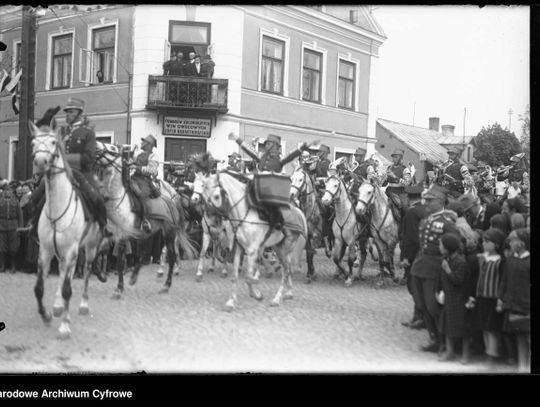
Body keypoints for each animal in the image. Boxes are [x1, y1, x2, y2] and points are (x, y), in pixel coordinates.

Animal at [29, 121, 104, 342]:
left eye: (54, 142)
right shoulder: (45, 250)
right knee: (63, 271)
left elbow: (68, 290)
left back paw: (83, 305)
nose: (40, 161)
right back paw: (56, 306)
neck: (57, 205)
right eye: (33, 143)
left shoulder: (72, 250)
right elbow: (39, 287)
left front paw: (64, 327)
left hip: (90, 248)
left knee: (86, 271)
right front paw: (45, 314)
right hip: (62, 252)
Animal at [193, 171, 308, 310]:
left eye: (216, 196)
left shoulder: (252, 250)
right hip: (278, 247)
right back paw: (289, 292)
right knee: (287, 268)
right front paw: (231, 302)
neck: (244, 214)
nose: (209, 216)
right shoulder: (239, 248)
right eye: (204, 195)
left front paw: (256, 294)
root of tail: (298, 211)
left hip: (285, 247)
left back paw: (277, 298)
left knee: (286, 271)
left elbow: (248, 277)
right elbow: (235, 275)